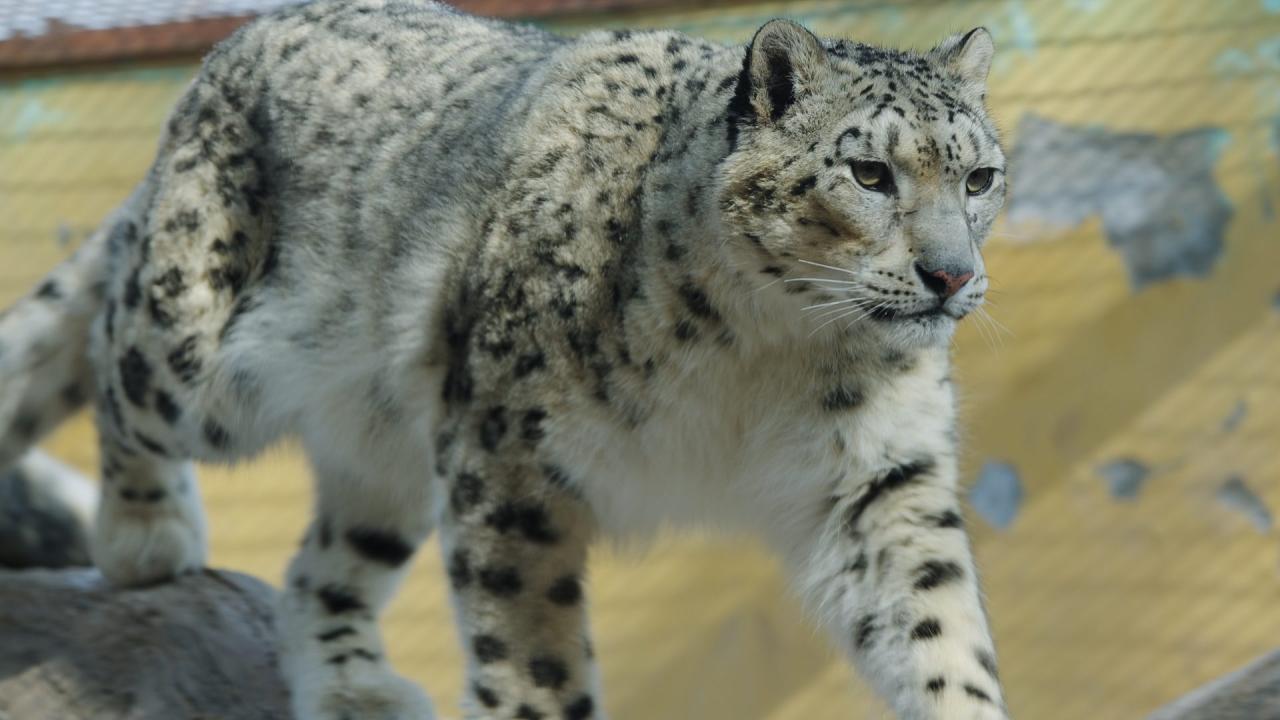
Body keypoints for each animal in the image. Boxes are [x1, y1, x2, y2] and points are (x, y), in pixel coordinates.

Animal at [0, 1, 1010, 718]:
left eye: (980, 177)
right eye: (869, 173)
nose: (951, 275)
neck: (779, 353)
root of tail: (227, 50)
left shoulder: (883, 476)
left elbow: (938, 626)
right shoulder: (513, 451)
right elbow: (530, 645)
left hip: (388, 443)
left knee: (322, 564)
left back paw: (357, 690)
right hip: (198, 349)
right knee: (113, 356)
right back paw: (144, 536)